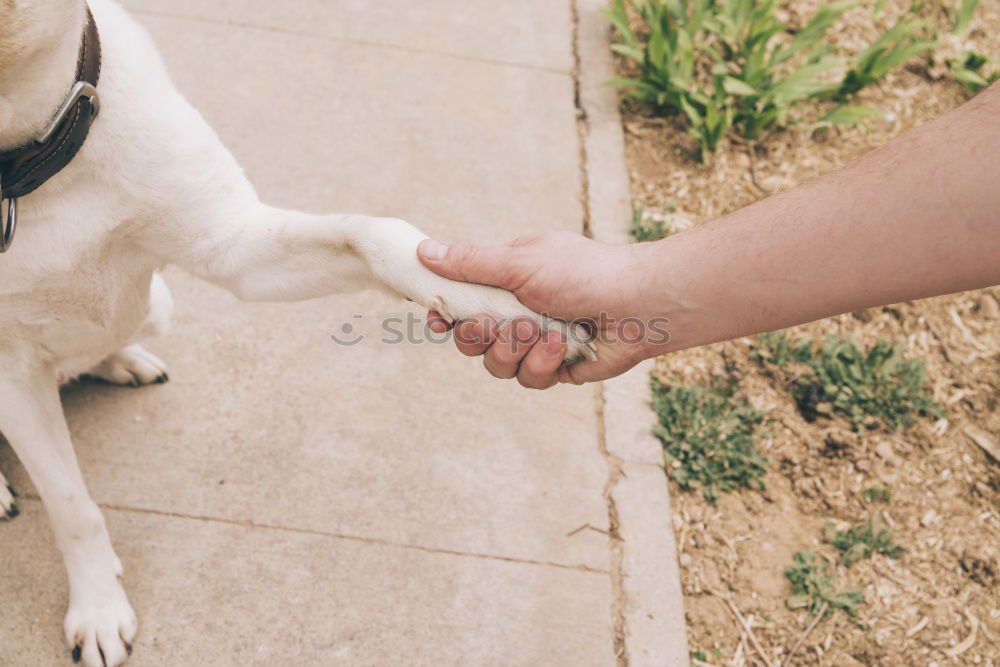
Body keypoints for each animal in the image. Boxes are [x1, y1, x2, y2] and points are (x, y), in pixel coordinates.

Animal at [0, 2, 592, 664]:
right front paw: (99, 607)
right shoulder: (12, 377)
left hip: (158, 303)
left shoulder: (235, 248)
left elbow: (375, 234)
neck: (26, 169)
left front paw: (508, 307)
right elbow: (71, 506)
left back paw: (120, 358)